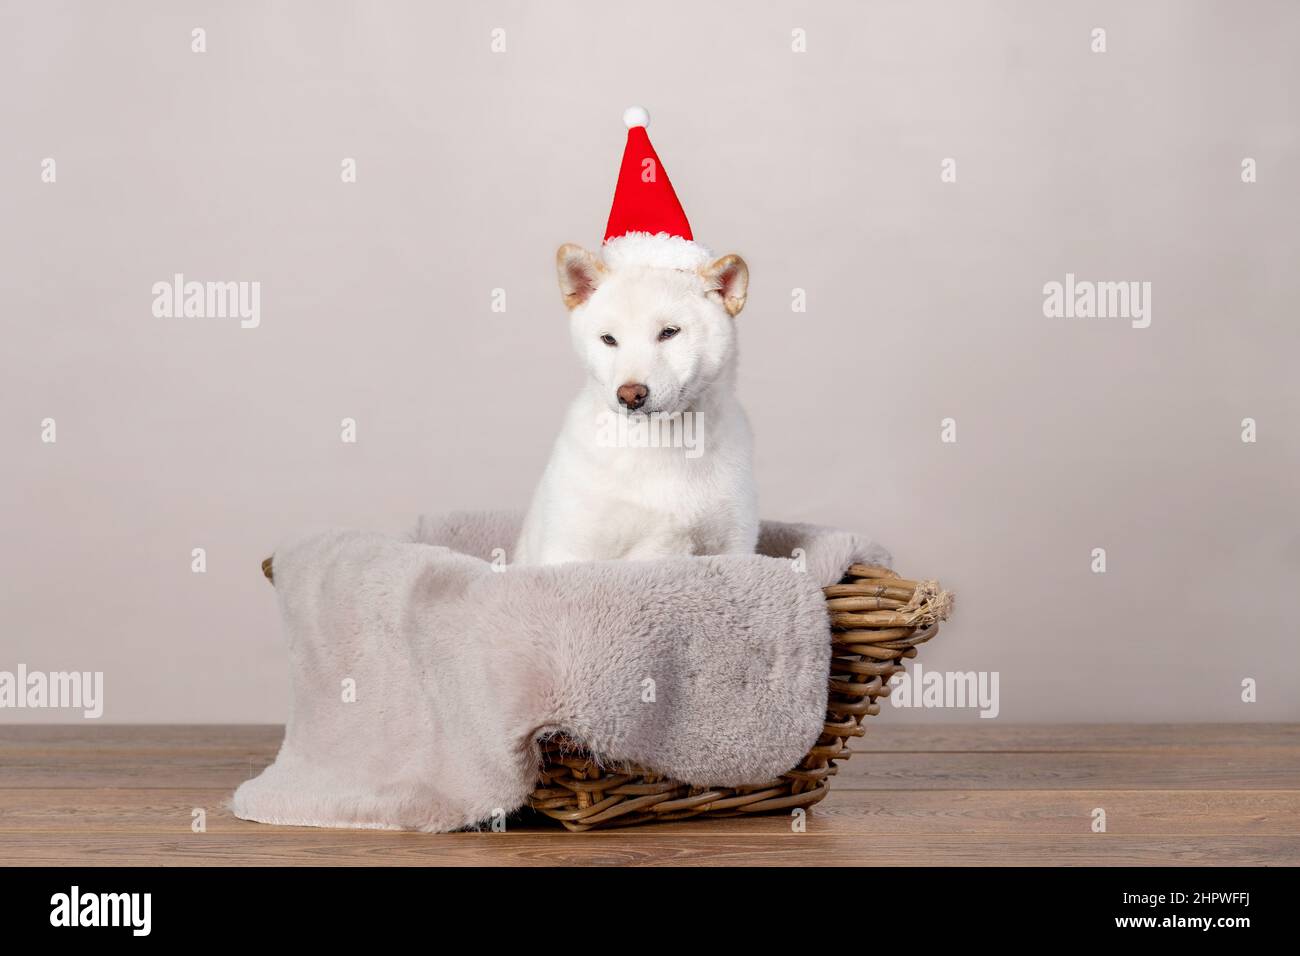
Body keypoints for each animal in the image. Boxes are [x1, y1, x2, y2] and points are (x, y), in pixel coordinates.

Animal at [514, 234, 759, 564]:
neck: (660, 447)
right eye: (608, 339)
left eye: (669, 332)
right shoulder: (568, 550)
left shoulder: (735, 547)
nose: (631, 394)